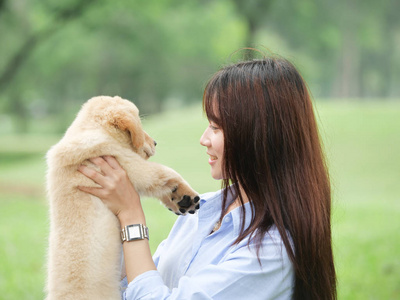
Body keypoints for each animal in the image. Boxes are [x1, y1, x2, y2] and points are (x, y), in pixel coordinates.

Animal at [46, 96, 199, 300]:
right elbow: (165, 174)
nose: (155, 143)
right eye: (139, 125)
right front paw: (188, 195)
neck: (93, 131)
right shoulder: (130, 164)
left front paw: (180, 200)